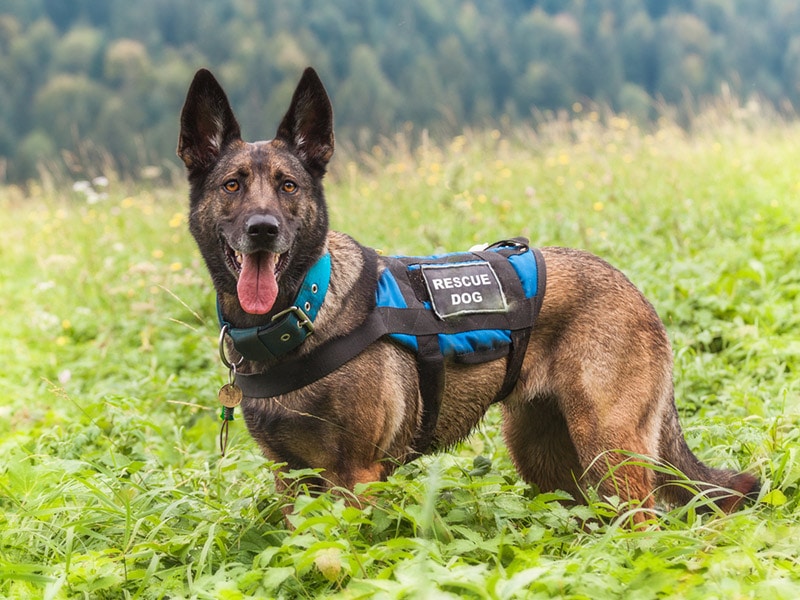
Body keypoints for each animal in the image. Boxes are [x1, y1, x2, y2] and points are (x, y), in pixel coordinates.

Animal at [178, 68, 760, 524]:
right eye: (232, 185)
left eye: (288, 186)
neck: (304, 309)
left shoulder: (354, 476)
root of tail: (632, 287)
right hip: (544, 458)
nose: (263, 230)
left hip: (610, 448)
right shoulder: (291, 480)